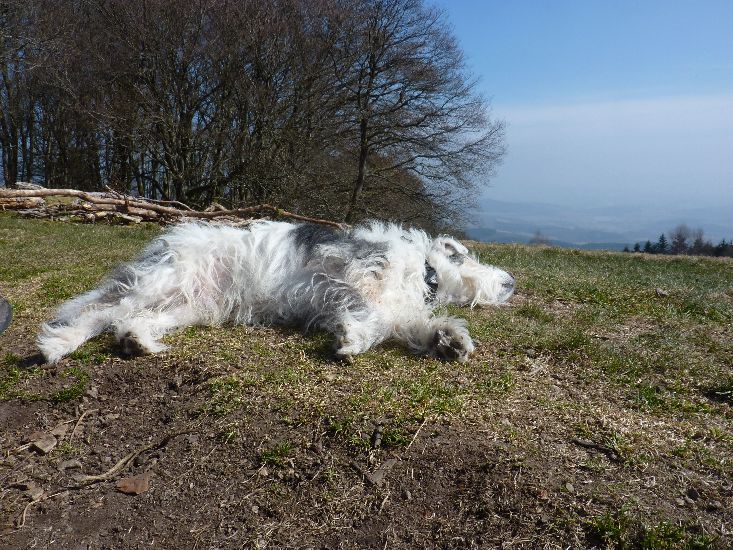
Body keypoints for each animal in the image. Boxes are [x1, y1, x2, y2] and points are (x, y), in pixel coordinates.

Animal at [37, 221, 515, 364]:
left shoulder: (385, 304)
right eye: (465, 255)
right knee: (101, 311)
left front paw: (449, 339)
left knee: (126, 321)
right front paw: (352, 338)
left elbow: (403, 323)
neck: (422, 269)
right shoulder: (345, 271)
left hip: (189, 307)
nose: (511, 281)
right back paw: (58, 344)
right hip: (159, 282)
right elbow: (373, 315)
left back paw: (136, 342)